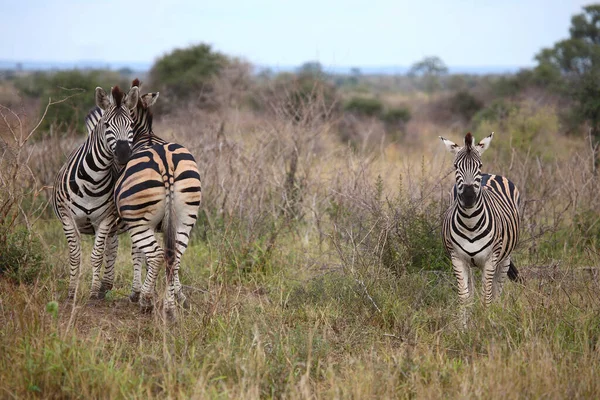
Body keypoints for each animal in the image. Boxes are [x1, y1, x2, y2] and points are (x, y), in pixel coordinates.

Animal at [52, 86, 139, 300]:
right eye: (106, 125)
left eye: (131, 124)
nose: (124, 154)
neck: (92, 181)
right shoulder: (67, 219)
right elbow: (75, 256)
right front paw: (71, 292)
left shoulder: (105, 220)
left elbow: (96, 256)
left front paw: (91, 293)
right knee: (113, 248)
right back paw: (105, 287)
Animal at [440, 133, 520, 326]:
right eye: (456, 166)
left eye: (479, 165)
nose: (469, 197)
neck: (470, 223)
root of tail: (488, 175)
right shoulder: (457, 258)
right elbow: (464, 297)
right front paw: (463, 328)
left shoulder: (491, 259)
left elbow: (486, 297)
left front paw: (485, 326)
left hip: (505, 257)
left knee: (497, 291)